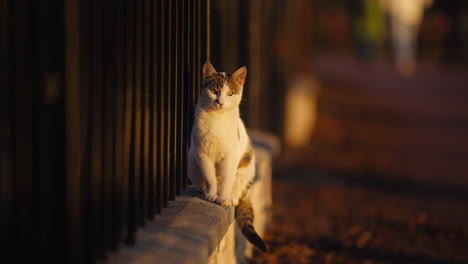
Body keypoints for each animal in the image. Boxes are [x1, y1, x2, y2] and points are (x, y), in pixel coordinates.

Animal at [187, 61, 266, 252]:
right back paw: (202, 189)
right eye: (214, 91)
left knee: (239, 189)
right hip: (192, 162)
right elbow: (210, 178)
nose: (220, 102)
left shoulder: (230, 156)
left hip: (246, 168)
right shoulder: (202, 154)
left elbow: (227, 178)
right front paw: (212, 194)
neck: (217, 118)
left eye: (230, 93)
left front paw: (223, 198)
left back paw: (233, 197)